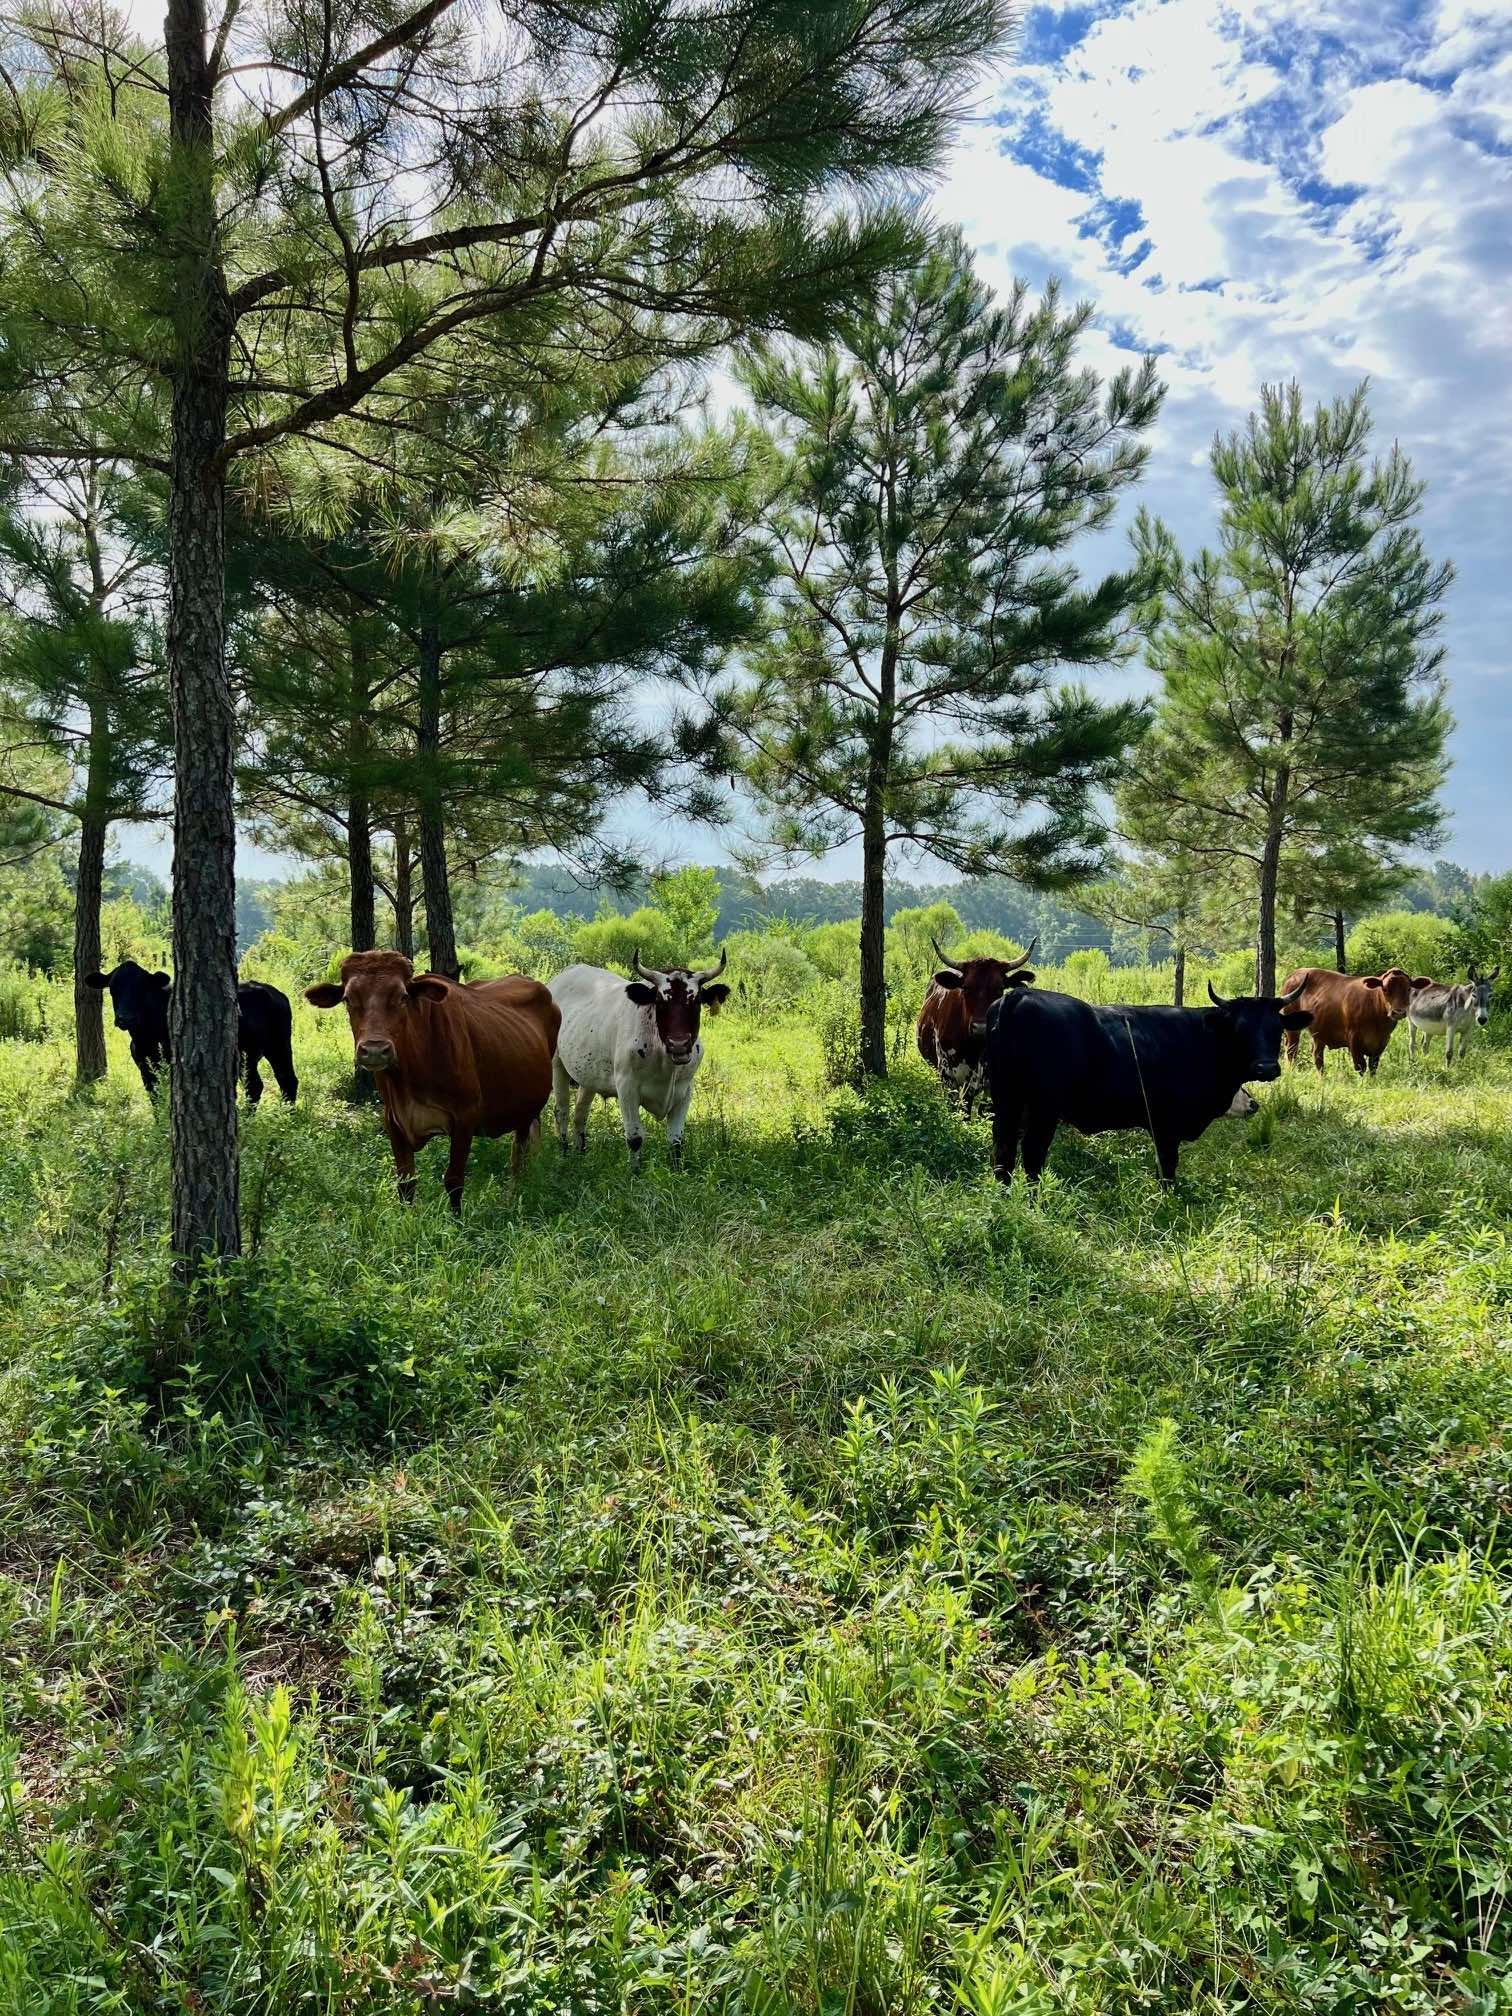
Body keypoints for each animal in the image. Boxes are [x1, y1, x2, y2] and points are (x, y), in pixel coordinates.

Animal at [85, 960, 298, 1104]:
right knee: (282, 1081)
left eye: (142, 988)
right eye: (113, 988)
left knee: (261, 1085)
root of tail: (274, 992)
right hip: (268, 1050)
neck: (143, 1037)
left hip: (265, 1049)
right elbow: (154, 1096)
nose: (125, 1018)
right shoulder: (144, 1066)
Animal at [304, 951, 559, 1212]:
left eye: (403, 996)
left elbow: (454, 1180)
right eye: (347, 999)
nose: (375, 1050)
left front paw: (457, 1221)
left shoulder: (465, 1117)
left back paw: (515, 1193)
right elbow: (406, 1183)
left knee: (519, 1152)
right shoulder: (393, 1120)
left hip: (526, 1108)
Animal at [549, 949, 731, 1168]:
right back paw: (563, 1155)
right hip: (557, 1065)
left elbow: (676, 1141)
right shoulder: (627, 1087)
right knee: (562, 1112)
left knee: (580, 1113)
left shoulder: (685, 1090)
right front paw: (634, 1173)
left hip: (588, 1075)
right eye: (660, 1002)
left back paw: (580, 1154)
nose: (679, 1044)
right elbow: (635, 1138)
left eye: (696, 1001)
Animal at [982, 980, 1312, 1185]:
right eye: (1240, 1029)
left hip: (1006, 1101)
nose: (1266, 1068)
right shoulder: (1166, 1124)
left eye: (1277, 1028)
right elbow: (1167, 1167)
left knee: (1003, 1151)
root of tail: (1018, 995)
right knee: (1032, 1154)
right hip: (1043, 1109)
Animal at [1279, 965, 1414, 1076]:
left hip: (1319, 1033)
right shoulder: (1353, 1038)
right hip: (1293, 1029)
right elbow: (1360, 1066)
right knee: (1292, 1051)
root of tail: (1294, 974)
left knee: (1317, 1055)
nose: (1398, 1012)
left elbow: (1373, 1066)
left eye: (1408, 989)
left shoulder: (1383, 1040)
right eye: (1385, 989)